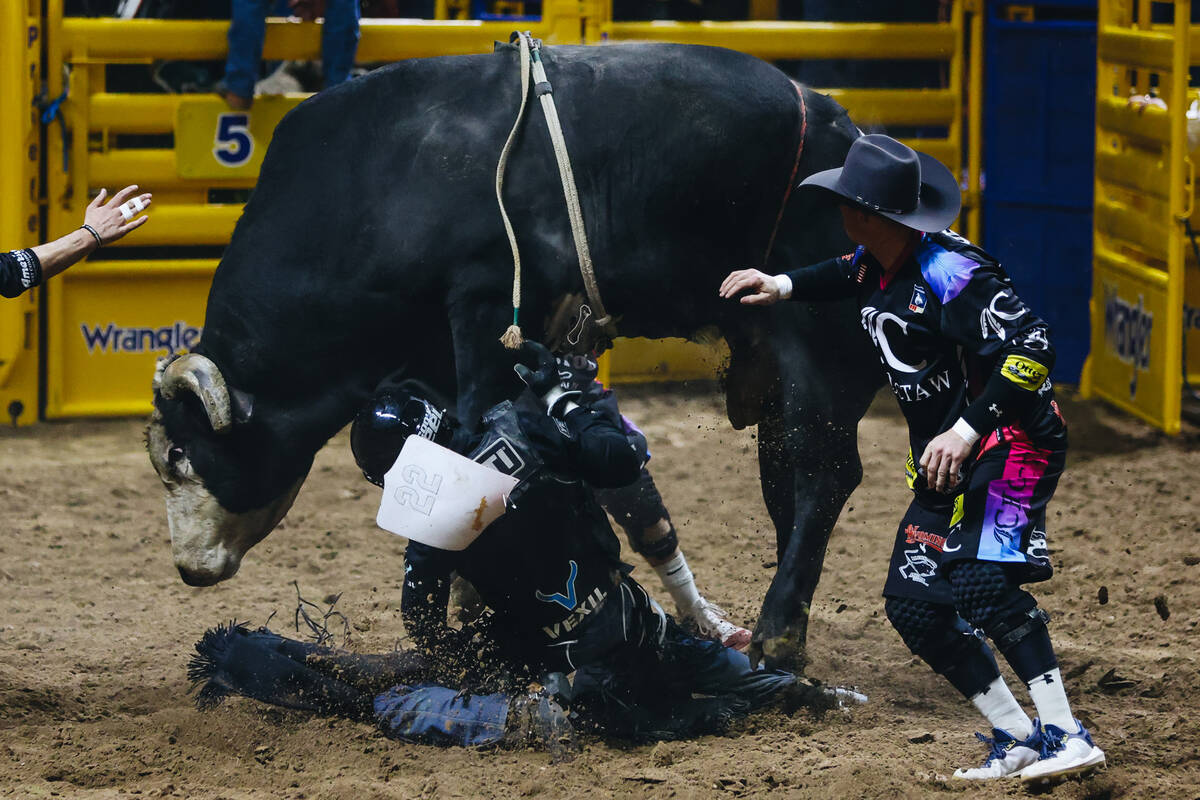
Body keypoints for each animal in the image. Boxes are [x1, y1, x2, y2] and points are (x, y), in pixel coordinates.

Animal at [152, 43, 883, 671]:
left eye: (182, 455)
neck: (386, 182)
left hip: (820, 335)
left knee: (824, 473)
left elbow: (484, 430)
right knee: (788, 479)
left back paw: (778, 634)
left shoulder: (489, 306)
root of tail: (847, 129)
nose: (187, 567)